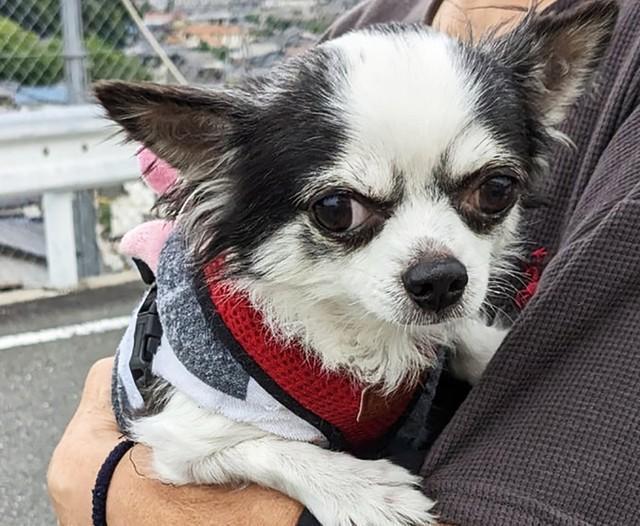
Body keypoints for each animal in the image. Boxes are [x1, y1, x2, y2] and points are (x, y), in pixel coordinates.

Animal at [95, 2, 616, 524]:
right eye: (336, 209)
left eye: (496, 190)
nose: (440, 279)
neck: (361, 332)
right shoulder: (184, 437)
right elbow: (274, 449)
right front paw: (365, 490)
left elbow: (464, 334)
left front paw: (494, 348)